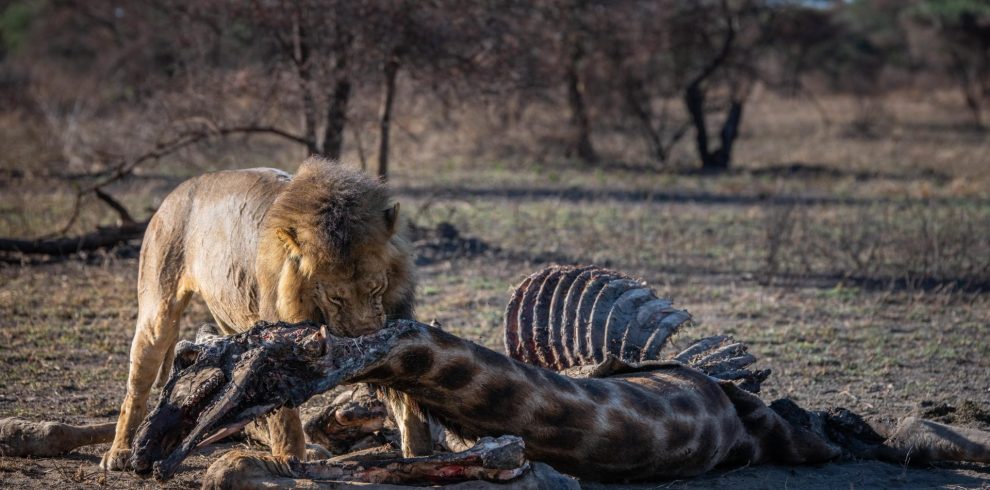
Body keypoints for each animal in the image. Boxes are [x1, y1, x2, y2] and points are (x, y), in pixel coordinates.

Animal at [100, 157, 430, 471]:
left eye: (377, 288)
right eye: (335, 298)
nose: (366, 339)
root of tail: (172, 195)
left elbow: (408, 398)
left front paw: (419, 452)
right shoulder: (275, 345)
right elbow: (285, 418)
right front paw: (288, 460)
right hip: (158, 311)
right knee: (137, 388)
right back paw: (120, 452)